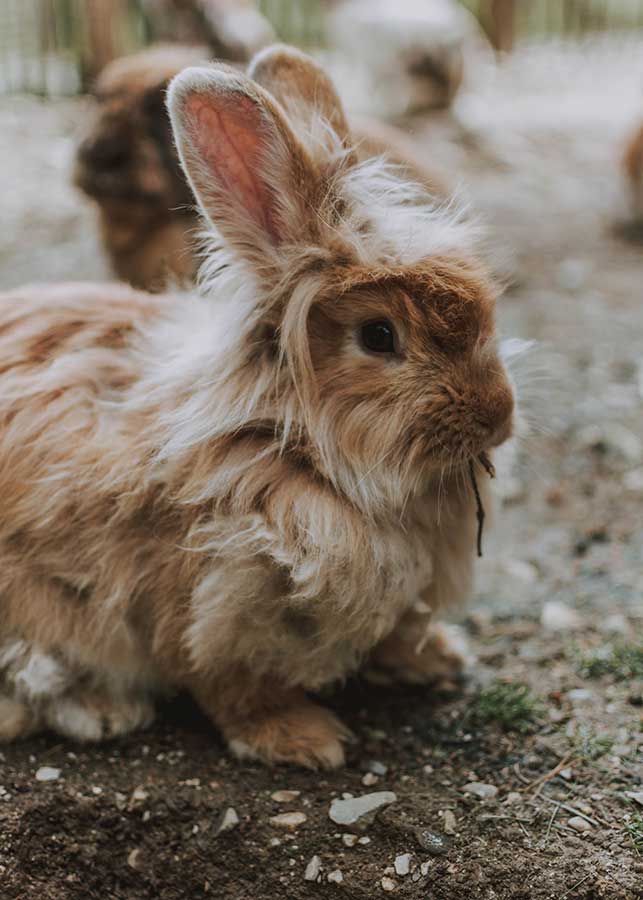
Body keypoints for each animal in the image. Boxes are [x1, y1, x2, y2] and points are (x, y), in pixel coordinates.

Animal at [0, 45, 512, 768]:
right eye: (378, 336)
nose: (499, 415)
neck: (288, 445)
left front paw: (436, 659)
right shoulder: (201, 603)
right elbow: (230, 684)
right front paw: (304, 739)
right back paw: (102, 710)